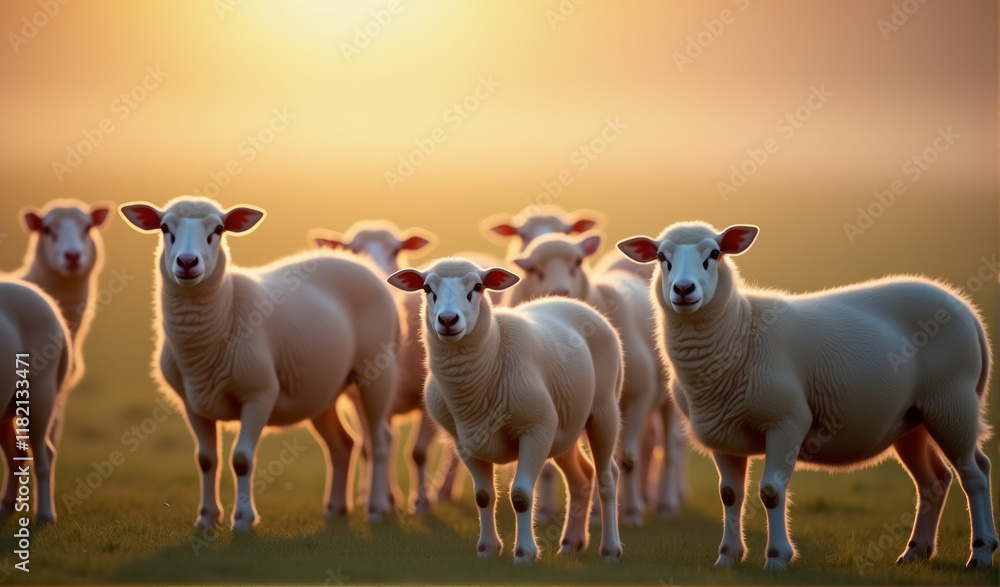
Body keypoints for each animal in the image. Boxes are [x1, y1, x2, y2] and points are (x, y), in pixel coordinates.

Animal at [119, 196, 398, 529]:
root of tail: (361, 265)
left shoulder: (260, 393)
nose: (187, 262)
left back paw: (377, 509)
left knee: (379, 442)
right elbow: (206, 460)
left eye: (218, 229)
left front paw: (243, 519)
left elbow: (241, 459)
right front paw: (206, 517)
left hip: (378, 372)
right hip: (323, 389)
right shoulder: (192, 402)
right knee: (344, 445)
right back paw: (335, 508)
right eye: (164, 228)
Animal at [310, 220, 446, 513]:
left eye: (396, 250)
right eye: (352, 249)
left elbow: (418, 452)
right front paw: (382, 498)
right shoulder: (363, 395)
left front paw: (421, 502)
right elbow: (369, 446)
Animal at [387, 258, 624, 565]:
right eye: (427, 288)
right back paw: (571, 542)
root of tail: (576, 303)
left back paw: (610, 550)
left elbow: (521, 495)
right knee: (581, 477)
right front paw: (487, 549)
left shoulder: (536, 428)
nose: (448, 320)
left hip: (603, 410)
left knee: (607, 476)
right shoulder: (465, 441)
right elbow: (483, 496)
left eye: (478, 287)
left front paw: (524, 553)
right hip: (565, 428)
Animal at [509, 231, 685, 524]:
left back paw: (664, 503)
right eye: (533, 269)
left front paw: (633, 513)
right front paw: (570, 514)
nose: (560, 292)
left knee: (669, 450)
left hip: (663, 400)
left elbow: (628, 458)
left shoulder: (640, 395)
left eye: (578, 262)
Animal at [618, 221, 997, 570]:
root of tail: (967, 310)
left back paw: (980, 552)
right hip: (913, 419)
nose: (683, 289)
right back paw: (915, 552)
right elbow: (730, 496)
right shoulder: (722, 432)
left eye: (714, 254)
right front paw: (727, 557)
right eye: (662, 258)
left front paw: (776, 557)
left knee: (975, 474)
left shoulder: (787, 420)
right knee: (935, 481)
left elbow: (771, 492)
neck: (740, 330)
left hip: (952, 402)